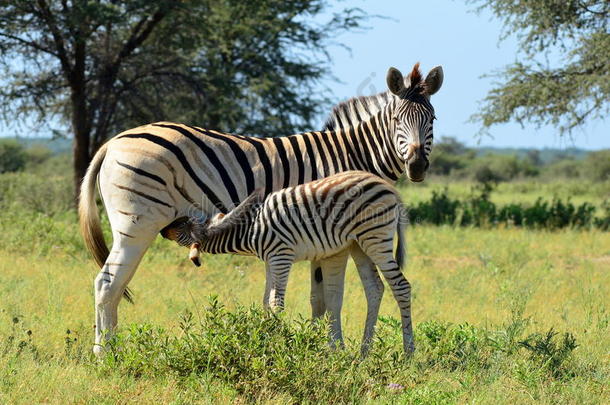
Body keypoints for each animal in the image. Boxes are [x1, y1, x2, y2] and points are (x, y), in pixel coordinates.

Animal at [165, 170, 414, 354]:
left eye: (181, 228)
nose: (164, 227)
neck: (249, 229)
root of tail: (389, 188)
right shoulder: (269, 260)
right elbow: (266, 301)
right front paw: (264, 339)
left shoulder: (280, 256)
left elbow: (276, 303)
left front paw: (278, 344)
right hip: (358, 244)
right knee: (375, 288)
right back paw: (364, 352)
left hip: (376, 237)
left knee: (401, 286)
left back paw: (408, 353)